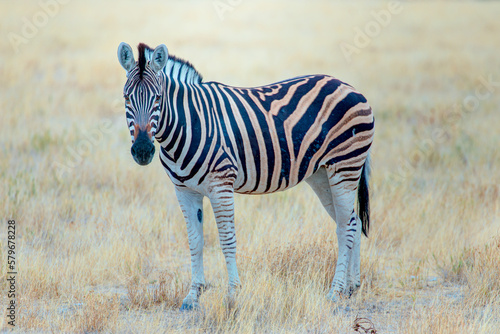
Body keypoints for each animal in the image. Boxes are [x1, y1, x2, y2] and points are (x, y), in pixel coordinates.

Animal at [118, 42, 376, 310]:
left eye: (158, 98)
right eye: (126, 98)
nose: (143, 150)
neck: (189, 124)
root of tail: (349, 86)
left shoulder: (221, 185)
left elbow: (226, 240)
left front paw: (232, 295)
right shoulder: (184, 190)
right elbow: (195, 241)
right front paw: (192, 296)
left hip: (345, 166)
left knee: (345, 226)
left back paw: (335, 292)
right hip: (322, 175)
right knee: (353, 222)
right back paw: (351, 287)